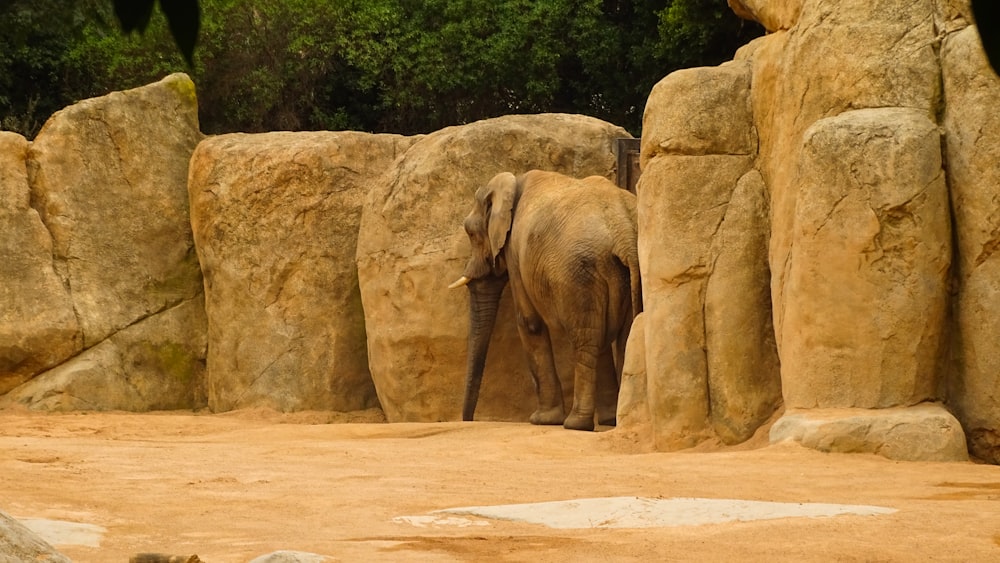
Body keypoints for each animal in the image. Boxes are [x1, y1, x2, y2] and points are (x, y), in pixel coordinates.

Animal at [448, 169, 636, 432]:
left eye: (472, 233)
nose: (468, 420)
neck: (513, 183)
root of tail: (625, 233)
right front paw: (609, 419)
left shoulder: (515, 252)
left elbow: (529, 322)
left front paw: (542, 420)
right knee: (619, 336)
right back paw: (613, 421)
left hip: (579, 274)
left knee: (586, 340)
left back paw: (575, 424)